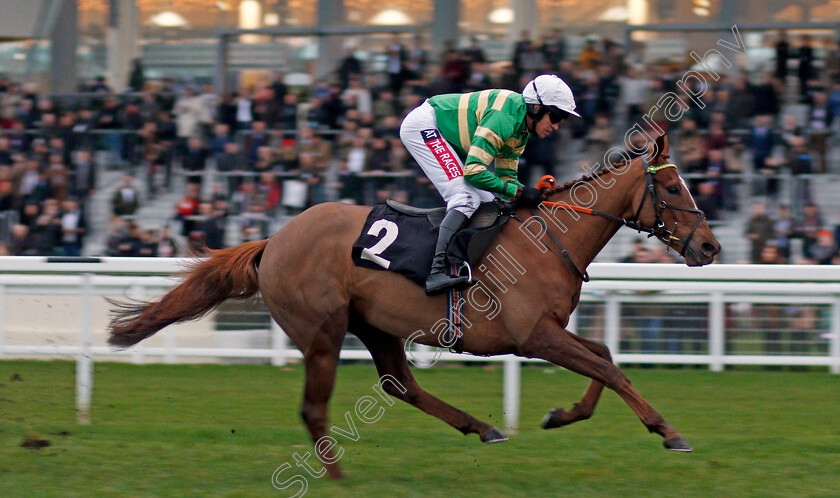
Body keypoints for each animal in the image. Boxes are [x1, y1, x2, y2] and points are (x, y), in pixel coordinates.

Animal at [108, 135, 720, 478]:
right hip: (323, 330)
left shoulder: (548, 331)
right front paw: (669, 431)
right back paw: (338, 475)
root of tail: (274, 240)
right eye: (673, 190)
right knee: (319, 406)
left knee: (400, 384)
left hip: (374, 325)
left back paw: (482, 427)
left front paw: (561, 414)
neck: (550, 238)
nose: (711, 247)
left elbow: (604, 356)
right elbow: (608, 367)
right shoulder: (534, 335)